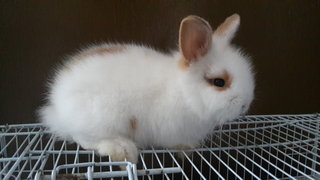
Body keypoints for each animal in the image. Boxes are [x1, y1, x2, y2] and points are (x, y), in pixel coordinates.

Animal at [38, 13, 255, 163]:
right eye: (219, 82)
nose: (245, 105)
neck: (184, 93)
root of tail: (56, 104)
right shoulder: (170, 131)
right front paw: (186, 147)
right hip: (101, 118)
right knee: (84, 139)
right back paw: (122, 149)